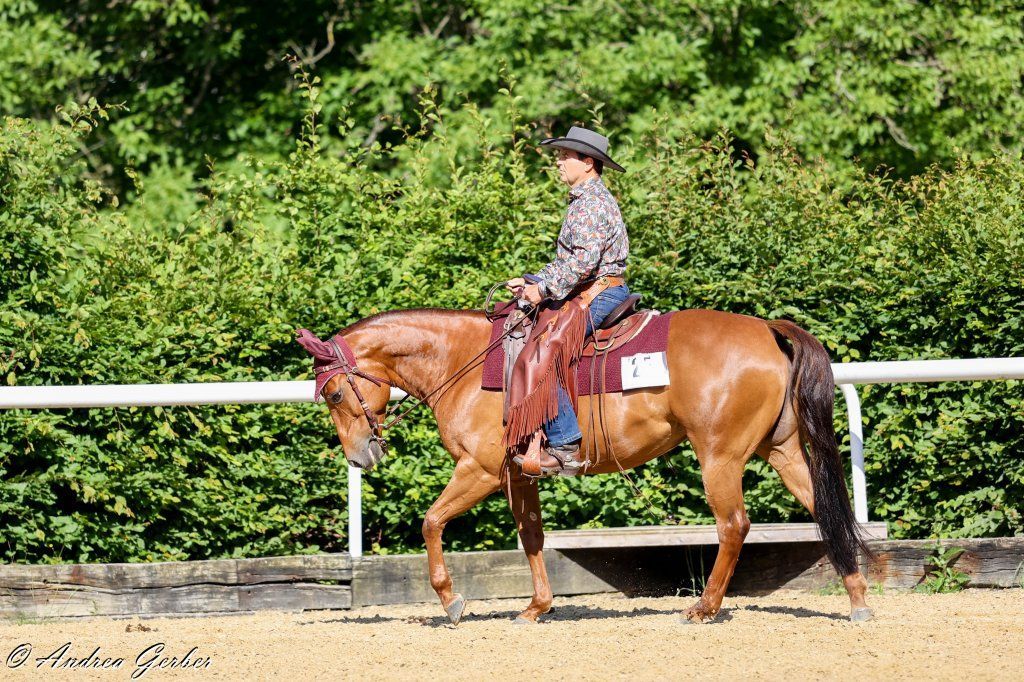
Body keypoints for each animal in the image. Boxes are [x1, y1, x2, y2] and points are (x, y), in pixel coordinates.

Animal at [296, 306, 874, 624]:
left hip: (720, 456)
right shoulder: (517, 475)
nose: (360, 455)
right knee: (826, 510)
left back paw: (703, 608)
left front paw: (450, 601)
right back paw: (857, 598)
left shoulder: (478, 471)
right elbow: (531, 536)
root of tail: (766, 331)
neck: (467, 365)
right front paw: (537, 607)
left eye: (332, 393)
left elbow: (432, 521)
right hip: (782, 451)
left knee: (733, 526)